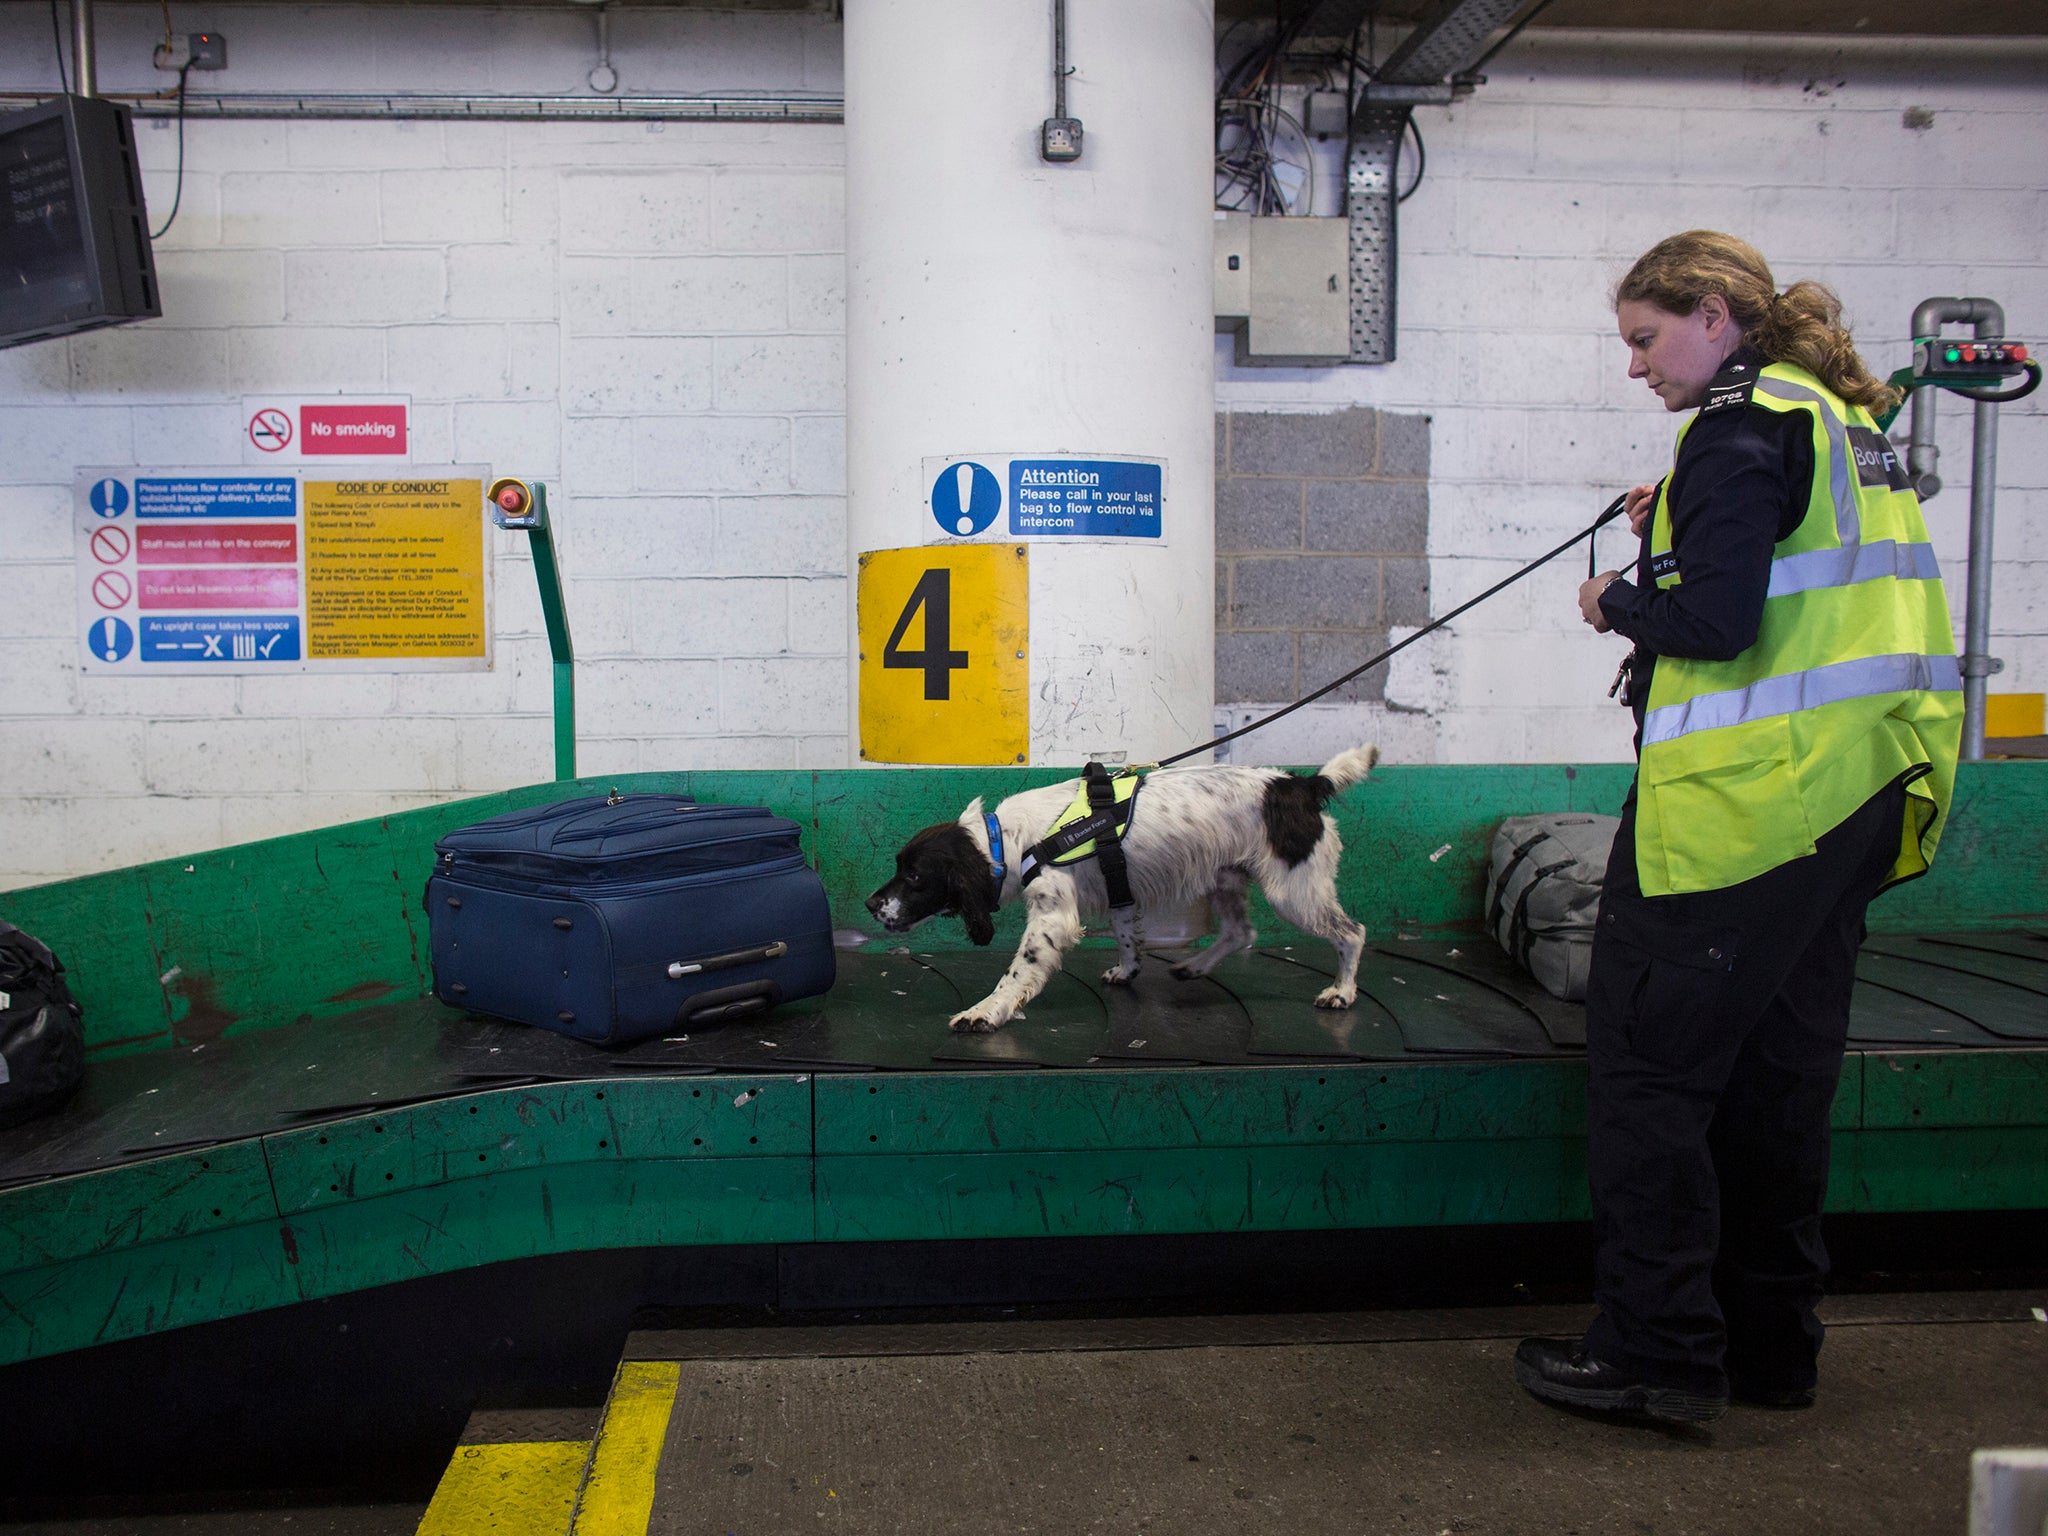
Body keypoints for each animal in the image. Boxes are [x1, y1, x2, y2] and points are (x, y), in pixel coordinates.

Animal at [864, 745, 1376, 1036]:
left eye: (915, 876)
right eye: (899, 866)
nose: (871, 904)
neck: (1008, 839)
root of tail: (1303, 785)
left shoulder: (1052, 916)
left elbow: (1016, 973)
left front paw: (987, 1011)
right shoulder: (1119, 890)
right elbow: (1129, 938)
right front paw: (1128, 970)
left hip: (1295, 893)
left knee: (1352, 932)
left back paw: (1342, 991)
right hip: (1226, 877)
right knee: (1239, 932)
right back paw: (1193, 966)